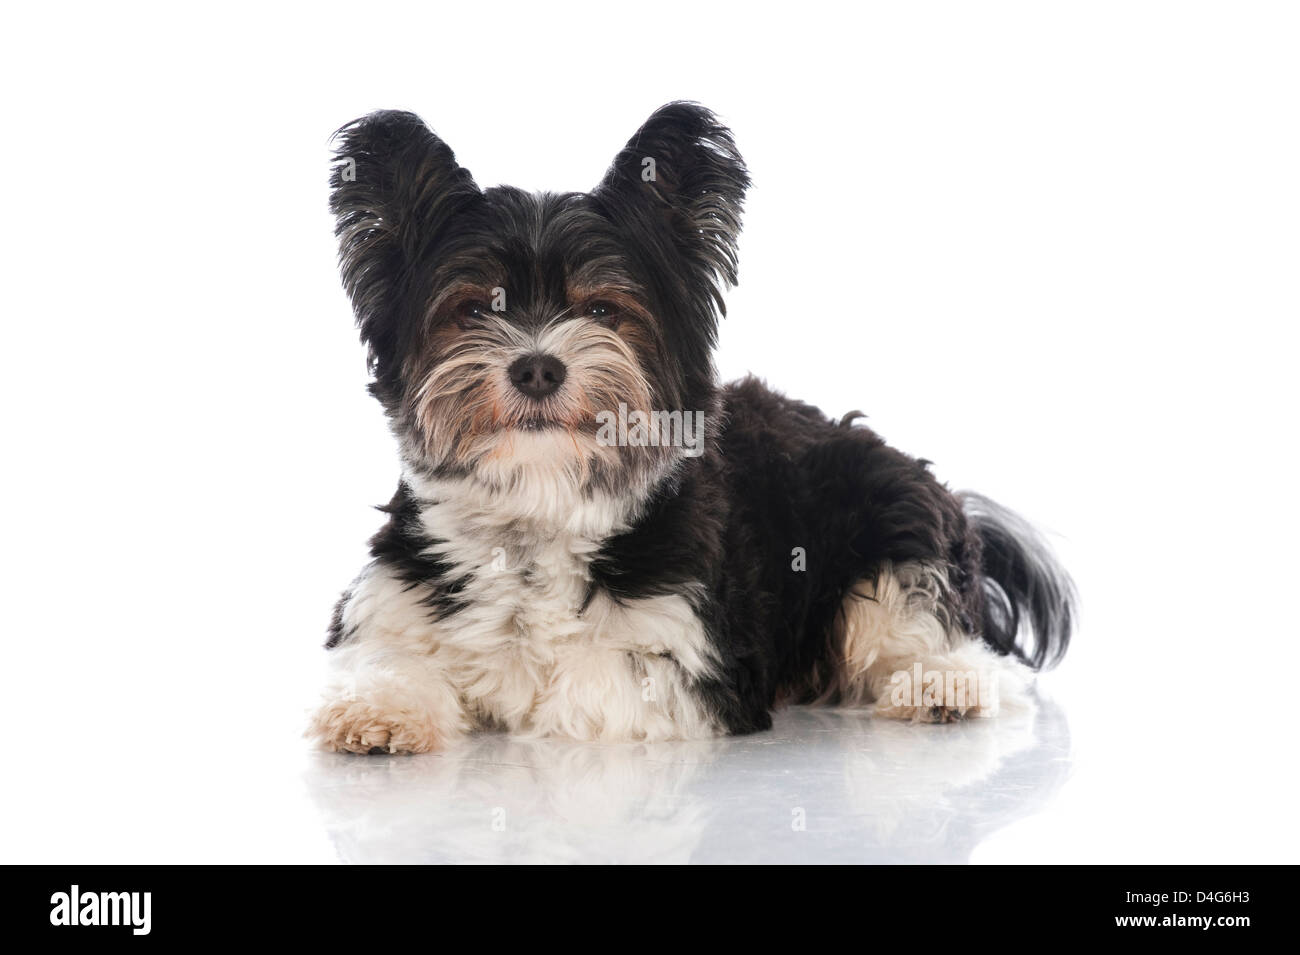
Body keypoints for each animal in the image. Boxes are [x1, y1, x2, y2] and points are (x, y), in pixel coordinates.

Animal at [306, 102, 1076, 753]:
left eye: (604, 311)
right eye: (472, 309)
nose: (538, 368)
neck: (539, 508)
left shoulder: (690, 660)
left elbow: (578, 687)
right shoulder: (394, 600)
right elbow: (387, 660)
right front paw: (386, 707)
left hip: (890, 510)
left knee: (952, 642)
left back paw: (942, 684)